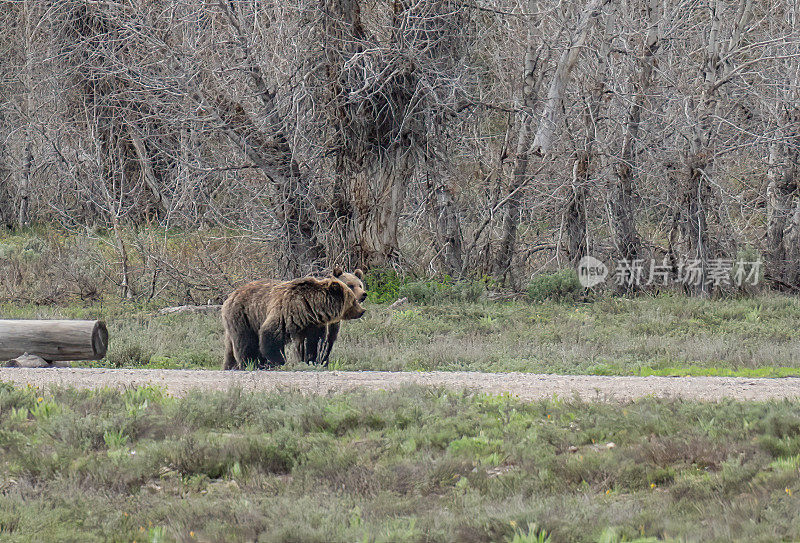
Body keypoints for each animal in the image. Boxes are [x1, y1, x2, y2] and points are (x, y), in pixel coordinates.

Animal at [222, 270, 366, 370]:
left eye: (360, 286)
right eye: (353, 300)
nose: (362, 311)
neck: (309, 307)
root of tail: (230, 296)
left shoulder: (312, 325)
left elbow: (314, 344)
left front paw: (312, 360)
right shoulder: (285, 314)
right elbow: (271, 337)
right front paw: (279, 362)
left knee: (230, 349)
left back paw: (230, 366)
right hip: (245, 316)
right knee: (246, 342)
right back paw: (250, 363)